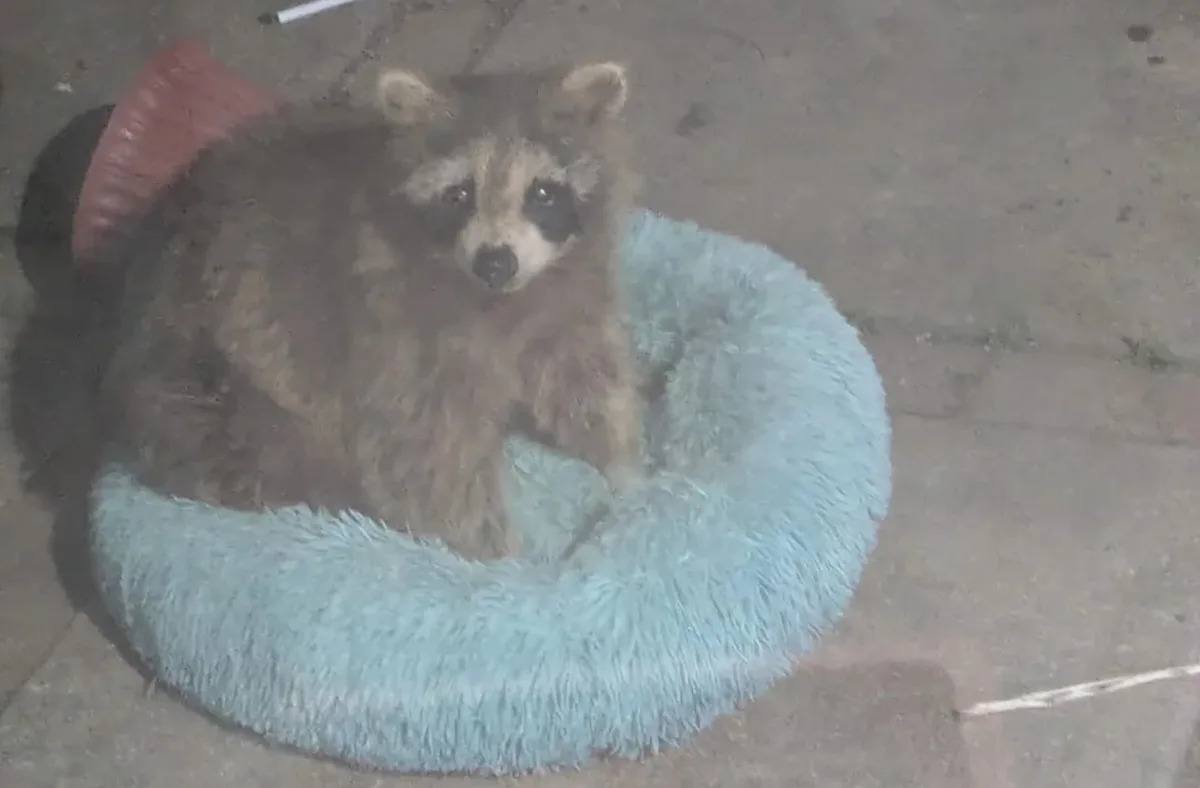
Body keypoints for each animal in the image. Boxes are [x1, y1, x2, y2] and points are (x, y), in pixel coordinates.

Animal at [96, 61, 643, 561]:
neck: (501, 297)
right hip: (208, 377)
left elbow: (584, 382)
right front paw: (500, 563)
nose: (495, 262)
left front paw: (623, 468)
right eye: (459, 194)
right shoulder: (393, 330)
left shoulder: (567, 302)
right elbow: (425, 453)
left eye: (543, 193)